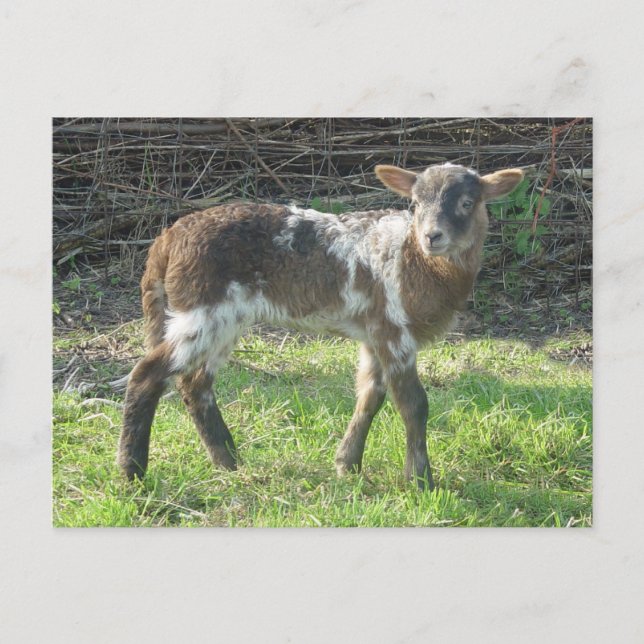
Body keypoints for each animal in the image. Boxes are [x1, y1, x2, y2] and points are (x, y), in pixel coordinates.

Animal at [118, 162, 524, 490]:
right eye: (416, 203)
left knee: (195, 384)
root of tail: (167, 239)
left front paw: (348, 465)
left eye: (467, 203)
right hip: (202, 310)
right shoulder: (394, 331)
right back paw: (132, 472)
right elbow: (413, 403)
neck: (417, 261)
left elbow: (370, 396)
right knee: (147, 374)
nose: (432, 236)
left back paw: (229, 462)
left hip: (224, 319)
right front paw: (421, 481)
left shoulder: (375, 333)